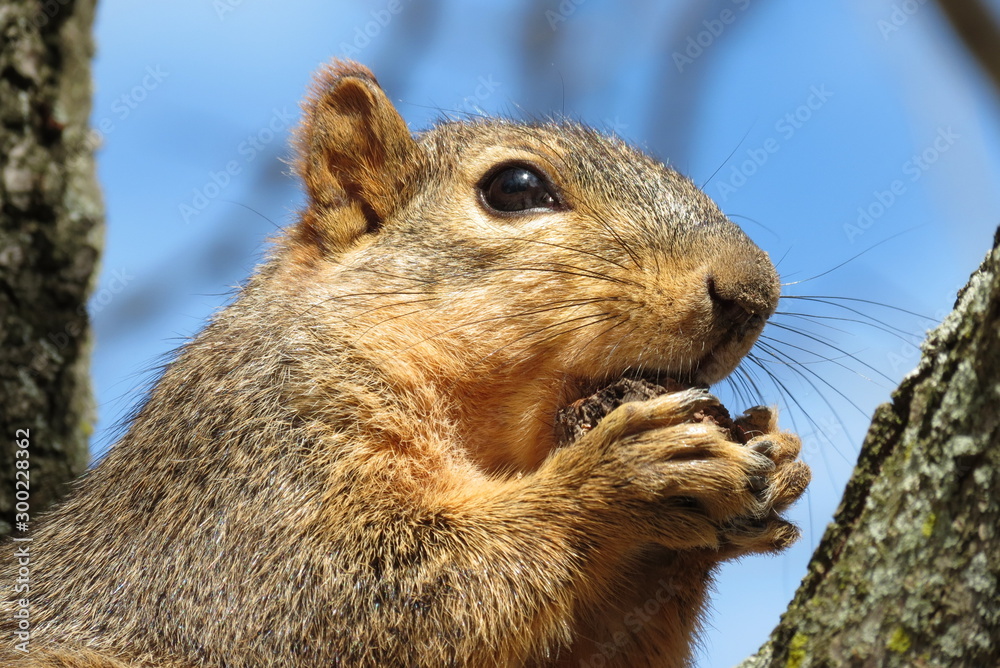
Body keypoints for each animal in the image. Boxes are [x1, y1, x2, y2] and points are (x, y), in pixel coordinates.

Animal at [1, 60, 810, 668]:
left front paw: (771, 455)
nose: (751, 292)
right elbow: (349, 593)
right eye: (515, 188)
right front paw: (618, 476)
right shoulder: (245, 476)